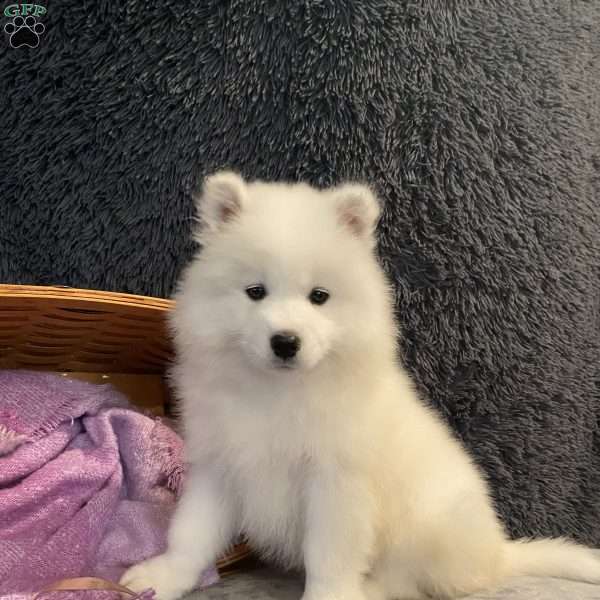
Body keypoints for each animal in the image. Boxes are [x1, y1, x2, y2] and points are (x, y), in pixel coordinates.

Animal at [122, 172, 600, 600]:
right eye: (255, 291)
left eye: (319, 296)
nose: (285, 341)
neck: (278, 394)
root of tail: (498, 554)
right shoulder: (220, 468)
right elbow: (191, 534)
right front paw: (161, 576)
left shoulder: (337, 483)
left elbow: (329, 556)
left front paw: (331, 595)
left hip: (426, 527)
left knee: (406, 580)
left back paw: (369, 590)